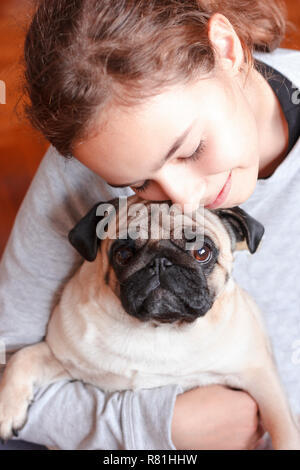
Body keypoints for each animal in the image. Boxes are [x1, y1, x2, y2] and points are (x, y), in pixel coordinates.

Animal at [0, 196, 300, 452]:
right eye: (123, 254)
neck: (158, 327)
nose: (160, 261)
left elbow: (284, 429)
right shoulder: (63, 357)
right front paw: (7, 410)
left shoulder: (260, 376)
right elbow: (23, 357)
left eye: (202, 252)